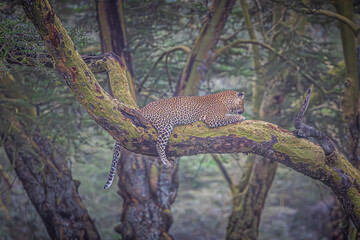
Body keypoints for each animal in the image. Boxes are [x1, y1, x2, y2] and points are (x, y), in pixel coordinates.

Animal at [104, 90, 245, 189]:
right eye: (243, 103)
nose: (243, 111)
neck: (227, 101)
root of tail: (142, 109)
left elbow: (228, 116)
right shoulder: (213, 118)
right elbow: (229, 117)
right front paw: (240, 118)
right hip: (165, 126)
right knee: (159, 145)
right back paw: (166, 161)